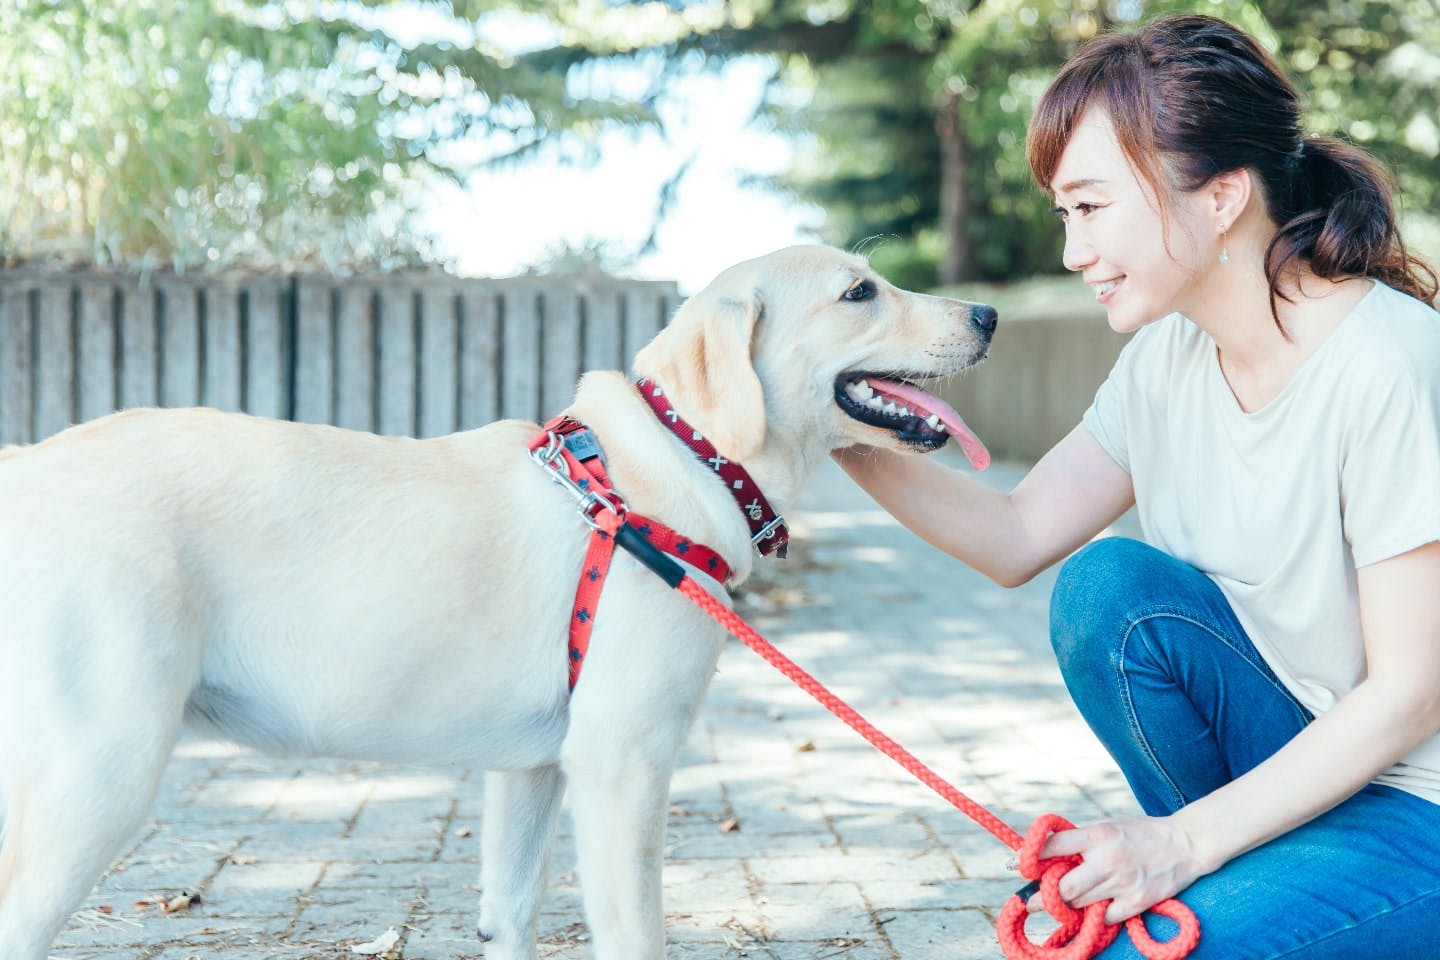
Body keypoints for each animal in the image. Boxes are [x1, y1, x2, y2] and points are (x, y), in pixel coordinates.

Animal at [0, 246, 990, 960]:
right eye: (859, 291)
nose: (986, 313)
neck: (679, 459)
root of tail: (28, 468)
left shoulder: (531, 773)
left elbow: (509, 917)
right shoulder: (621, 766)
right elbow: (636, 934)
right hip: (101, 771)